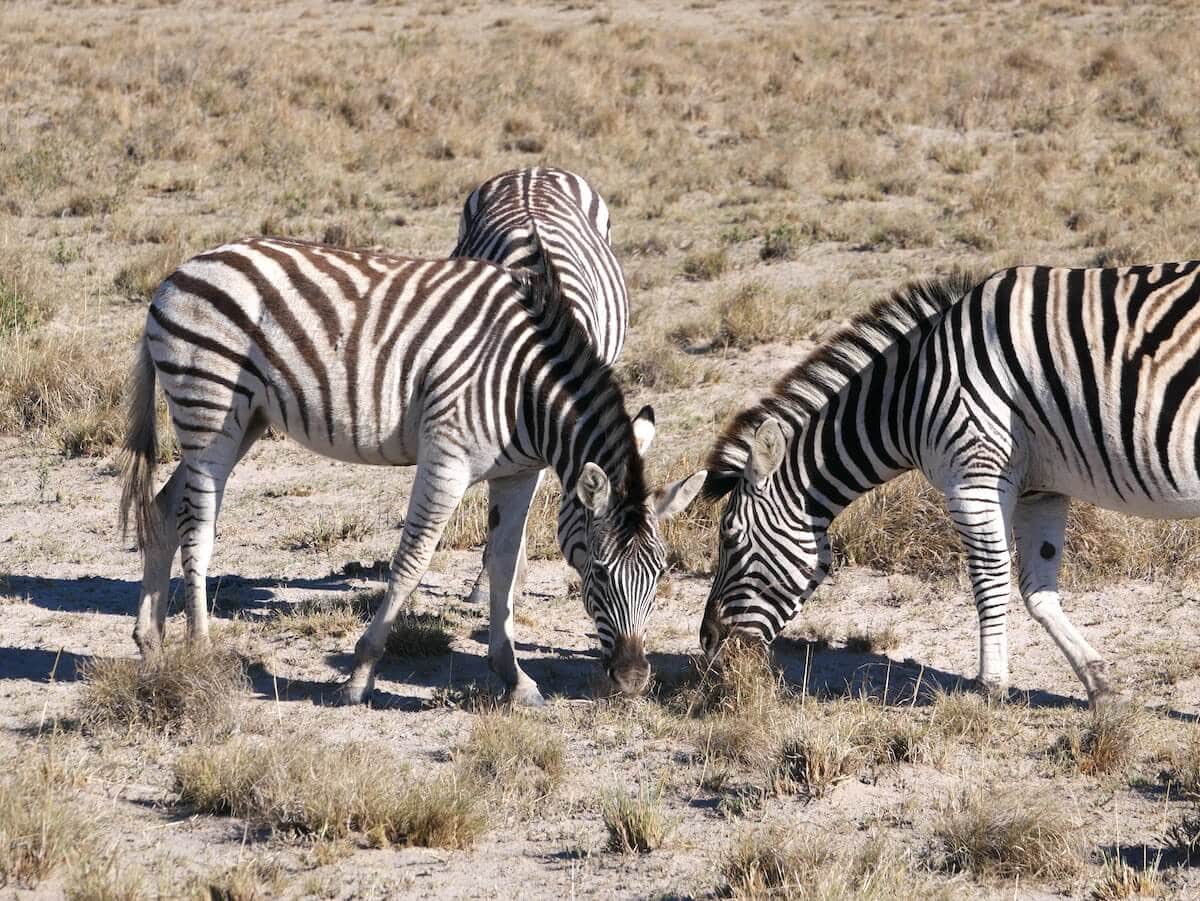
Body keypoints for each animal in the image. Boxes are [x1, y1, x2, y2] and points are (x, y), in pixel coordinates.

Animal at [118, 236, 705, 706]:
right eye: (600, 572)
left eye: (660, 574)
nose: (633, 680)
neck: (525, 389)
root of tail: (178, 273)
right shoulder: (446, 459)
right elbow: (412, 561)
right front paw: (360, 673)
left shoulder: (517, 474)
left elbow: (504, 567)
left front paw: (514, 678)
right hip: (209, 406)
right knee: (196, 528)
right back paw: (200, 651)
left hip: (245, 419)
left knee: (163, 509)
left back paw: (152, 643)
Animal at [699, 262, 1200, 706]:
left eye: (730, 539)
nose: (706, 642)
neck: (909, 393)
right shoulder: (1041, 488)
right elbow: (1037, 590)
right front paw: (1098, 684)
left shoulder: (972, 477)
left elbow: (990, 579)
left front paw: (989, 686)